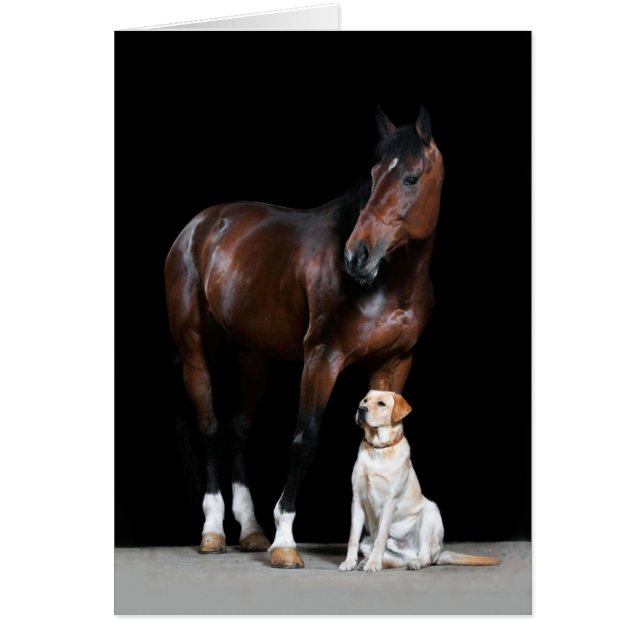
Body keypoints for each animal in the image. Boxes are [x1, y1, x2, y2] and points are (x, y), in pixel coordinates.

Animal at [164, 106, 444, 568]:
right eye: (373, 174)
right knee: (210, 428)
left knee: (239, 428)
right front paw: (285, 542)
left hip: (253, 355)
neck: (389, 283)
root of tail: (197, 227)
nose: (357, 255)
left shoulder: (394, 363)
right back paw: (213, 531)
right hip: (194, 353)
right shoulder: (322, 359)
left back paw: (252, 530)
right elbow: (304, 440)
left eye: (411, 177)